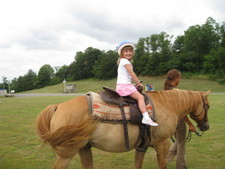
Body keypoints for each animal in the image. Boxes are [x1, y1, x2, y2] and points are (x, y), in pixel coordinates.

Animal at [36, 89, 210, 168]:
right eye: (207, 106)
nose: (206, 126)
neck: (167, 105)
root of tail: (58, 107)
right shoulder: (163, 144)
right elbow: (162, 165)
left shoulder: (142, 146)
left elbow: (137, 164)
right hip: (66, 155)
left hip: (84, 148)